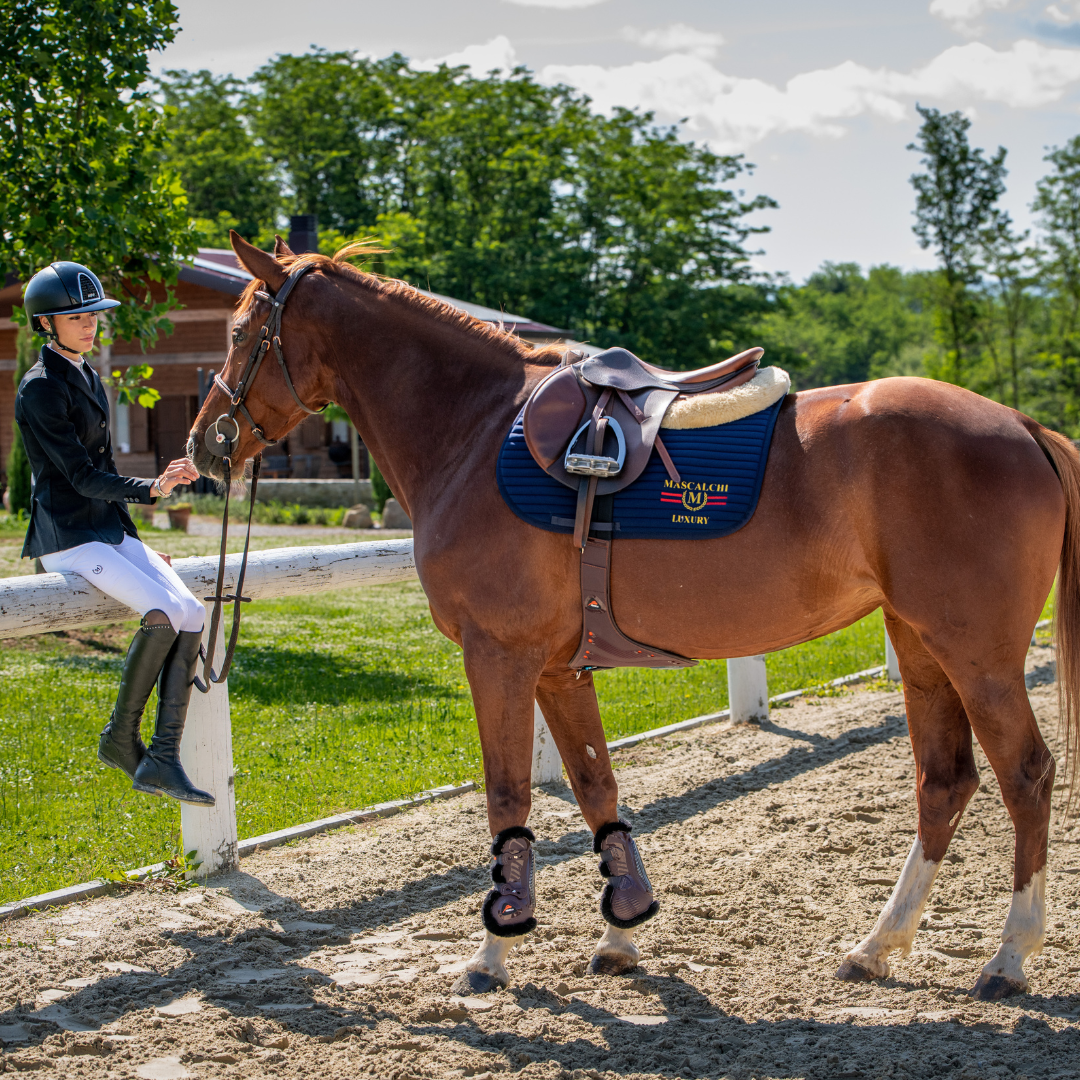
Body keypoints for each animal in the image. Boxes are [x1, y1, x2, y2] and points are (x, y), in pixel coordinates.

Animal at [187, 232, 1080, 997]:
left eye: (242, 331)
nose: (204, 445)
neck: (476, 429)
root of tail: (1021, 424)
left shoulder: (498, 654)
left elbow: (509, 795)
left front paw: (494, 948)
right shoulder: (558, 666)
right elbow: (594, 785)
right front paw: (621, 929)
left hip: (977, 654)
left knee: (1026, 775)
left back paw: (1009, 956)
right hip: (921, 645)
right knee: (944, 782)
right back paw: (877, 945)